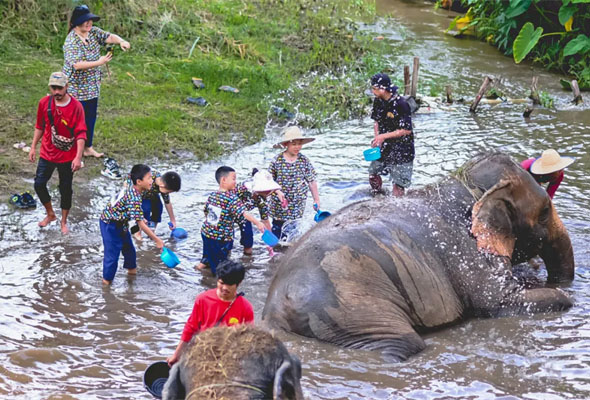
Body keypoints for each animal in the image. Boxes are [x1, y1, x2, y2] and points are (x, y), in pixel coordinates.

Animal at [264, 152, 580, 360]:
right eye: (544, 212)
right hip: (345, 307)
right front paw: (566, 296)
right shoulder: (467, 251)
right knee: (402, 345)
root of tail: (274, 309)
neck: (464, 186)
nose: (553, 278)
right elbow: (498, 302)